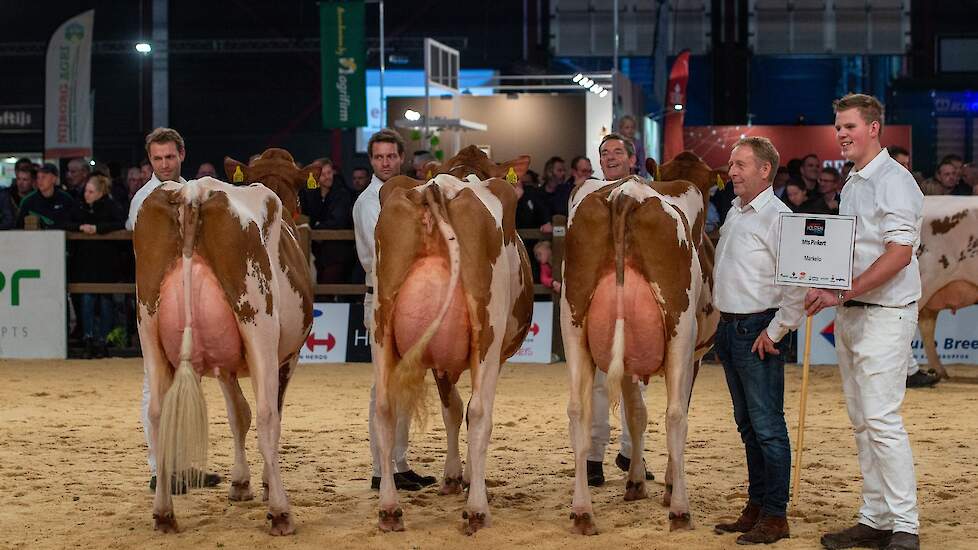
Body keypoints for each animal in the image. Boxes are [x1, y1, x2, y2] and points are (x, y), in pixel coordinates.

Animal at [132, 149, 316, 536]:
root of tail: (193, 191)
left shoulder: (222, 363)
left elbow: (237, 415)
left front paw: (240, 483)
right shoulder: (288, 356)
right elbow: (264, 414)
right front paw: (261, 484)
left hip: (148, 329)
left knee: (155, 414)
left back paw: (164, 513)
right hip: (258, 325)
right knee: (267, 416)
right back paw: (281, 512)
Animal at [368, 146, 532, 536]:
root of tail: (438, 186)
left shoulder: (438, 362)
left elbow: (452, 409)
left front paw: (454, 476)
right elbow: (468, 411)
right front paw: (467, 479)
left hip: (381, 328)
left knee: (384, 408)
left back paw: (390, 509)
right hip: (487, 336)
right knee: (481, 412)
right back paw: (477, 510)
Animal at [560, 154, 712, 536]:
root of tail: (625, 193)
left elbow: (636, 415)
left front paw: (635, 482)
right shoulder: (694, 357)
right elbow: (672, 412)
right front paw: (665, 486)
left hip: (572, 322)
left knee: (578, 411)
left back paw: (582, 512)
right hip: (680, 327)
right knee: (675, 416)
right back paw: (680, 510)